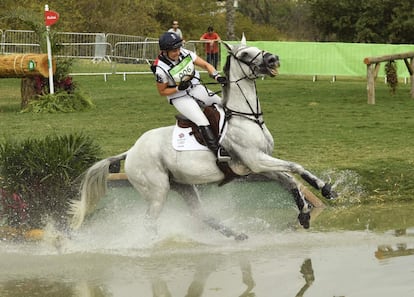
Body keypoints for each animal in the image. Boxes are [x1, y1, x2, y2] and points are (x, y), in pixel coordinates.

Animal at [67, 38, 334, 239]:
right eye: (245, 54)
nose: (273, 59)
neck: (247, 116)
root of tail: (130, 151)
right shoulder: (256, 160)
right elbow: (294, 167)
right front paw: (323, 190)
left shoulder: (257, 164)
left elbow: (289, 180)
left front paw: (308, 211)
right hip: (158, 191)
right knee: (150, 222)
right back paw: (155, 246)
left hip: (182, 184)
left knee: (200, 214)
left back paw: (236, 235)